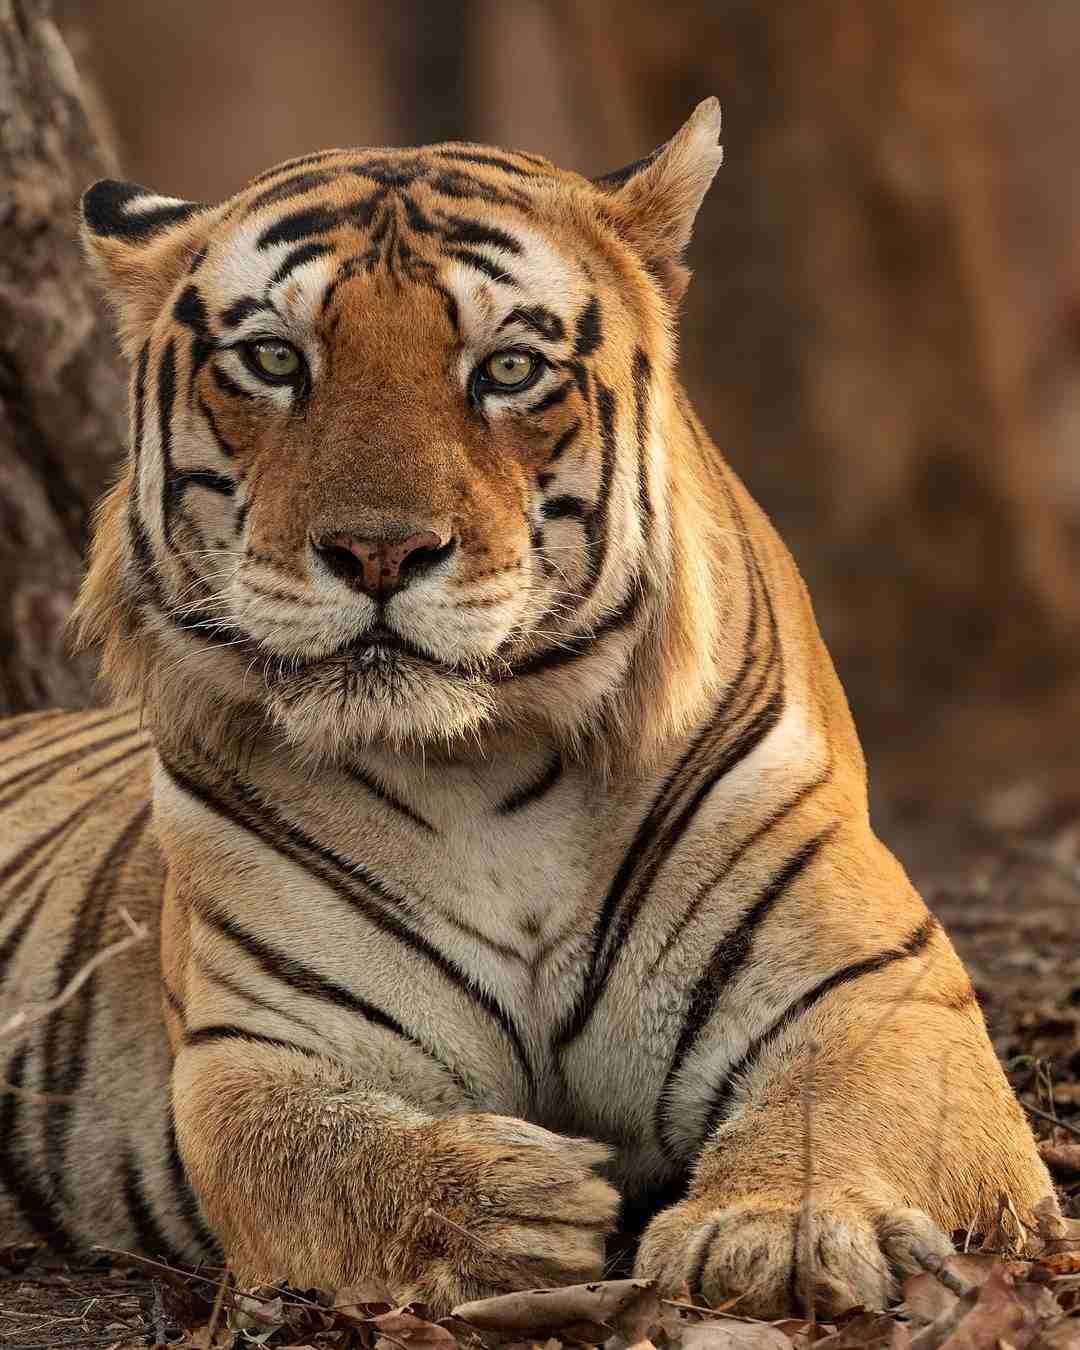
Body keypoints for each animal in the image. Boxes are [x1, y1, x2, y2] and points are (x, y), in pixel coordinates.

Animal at [0, 98, 1054, 1317]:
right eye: (274, 358)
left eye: (507, 369)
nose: (378, 551)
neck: (486, 768)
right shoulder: (253, 1049)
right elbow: (319, 1151)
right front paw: (516, 1200)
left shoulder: (878, 988)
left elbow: (834, 1106)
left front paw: (771, 1230)